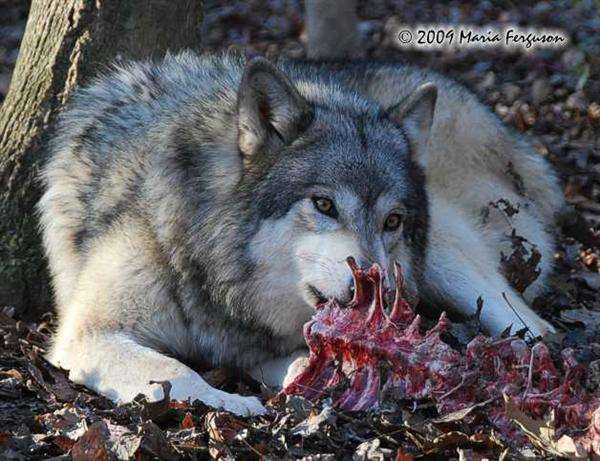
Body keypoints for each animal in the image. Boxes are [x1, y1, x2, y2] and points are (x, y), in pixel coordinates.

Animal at [38, 50, 564, 414]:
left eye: (392, 221)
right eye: (324, 205)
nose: (379, 292)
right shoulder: (90, 334)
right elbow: (176, 372)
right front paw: (232, 402)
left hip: (443, 259)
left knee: (537, 325)